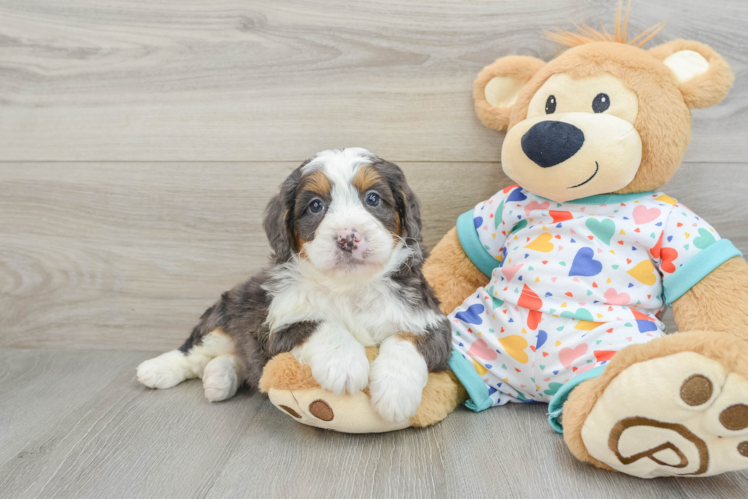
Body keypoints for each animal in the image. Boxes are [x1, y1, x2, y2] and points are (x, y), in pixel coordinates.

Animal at [138, 148, 452, 422]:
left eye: (373, 199)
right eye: (315, 206)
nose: (347, 238)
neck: (349, 287)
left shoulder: (429, 319)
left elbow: (405, 340)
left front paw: (395, 392)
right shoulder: (276, 324)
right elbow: (318, 324)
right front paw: (345, 364)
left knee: (236, 359)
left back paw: (220, 377)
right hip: (229, 310)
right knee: (196, 351)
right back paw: (157, 369)